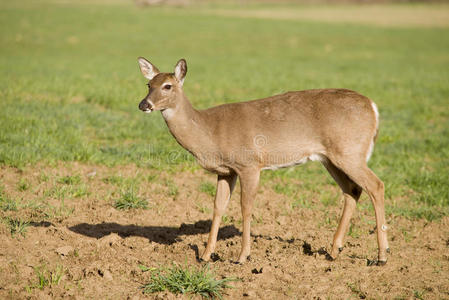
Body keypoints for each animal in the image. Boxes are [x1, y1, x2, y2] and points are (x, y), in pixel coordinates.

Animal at [136, 58, 388, 264]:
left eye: (168, 86)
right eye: (149, 85)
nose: (144, 105)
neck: (210, 131)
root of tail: (373, 107)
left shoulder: (249, 164)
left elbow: (246, 207)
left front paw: (242, 256)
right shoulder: (226, 171)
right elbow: (218, 207)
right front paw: (207, 255)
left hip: (350, 152)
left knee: (376, 185)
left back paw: (382, 256)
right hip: (331, 157)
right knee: (352, 190)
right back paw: (334, 251)